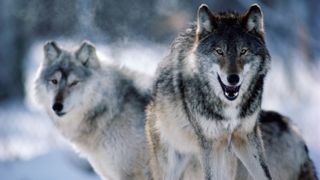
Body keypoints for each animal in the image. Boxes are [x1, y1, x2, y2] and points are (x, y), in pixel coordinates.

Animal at [146, 3, 314, 180]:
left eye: (243, 51)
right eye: (219, 51)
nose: (233, 78)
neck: (229, 107)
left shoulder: (246, 136)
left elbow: (264, 173)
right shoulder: (210, 143)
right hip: (173, 164)